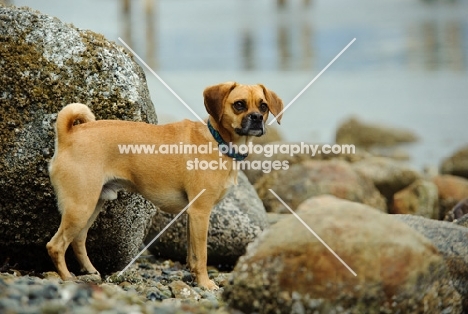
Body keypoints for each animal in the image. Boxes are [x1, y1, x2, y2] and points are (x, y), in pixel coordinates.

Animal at [47, 81, 284, 290]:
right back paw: (67, 277)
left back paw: (90, 272)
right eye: (239, 104)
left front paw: (195, 278)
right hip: (80, 207)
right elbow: (202, 255)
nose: (256, 118)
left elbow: (192, 255)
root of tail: (68, 135)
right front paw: (206, 283)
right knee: (55, 245)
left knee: (78, 241)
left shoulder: (192, 216)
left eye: (263, 106)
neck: (218, 140)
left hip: (91, 206)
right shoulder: (201, 213)